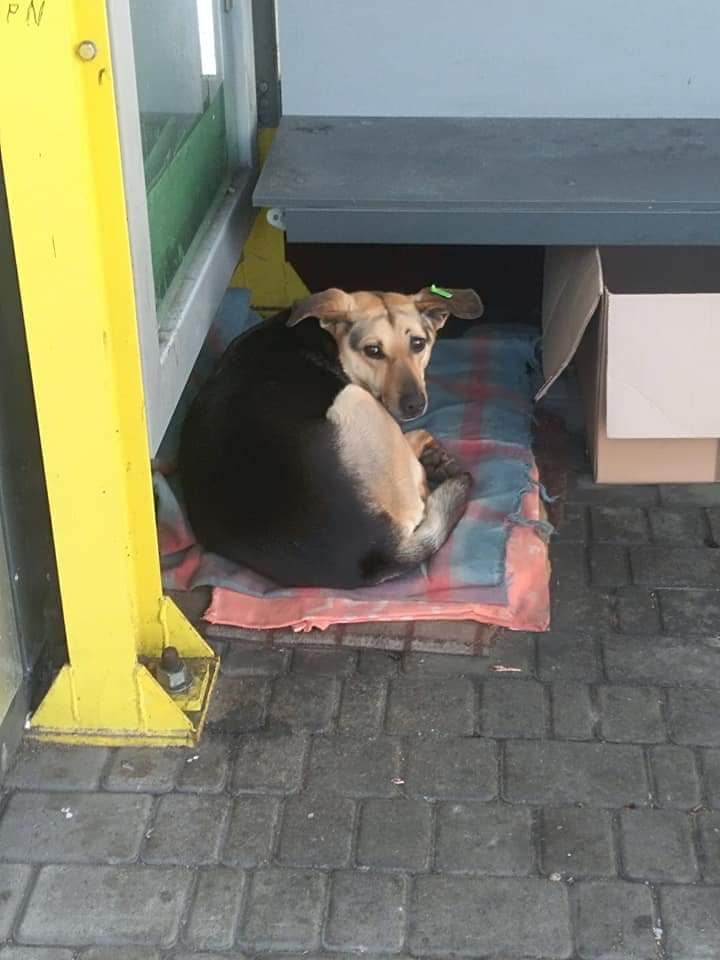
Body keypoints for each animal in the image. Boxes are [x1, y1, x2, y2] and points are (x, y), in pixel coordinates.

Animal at [179, 282, 484, 588]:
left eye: (418, 344)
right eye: (373, 350)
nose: (414, 405)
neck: (331, 340)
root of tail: (377, 551)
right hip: (354, 400)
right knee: (419, 484)